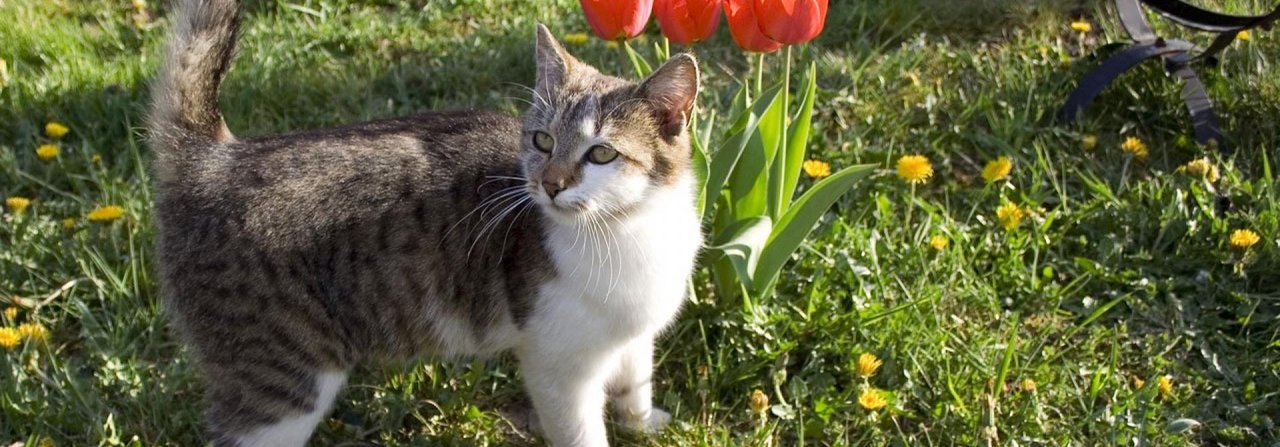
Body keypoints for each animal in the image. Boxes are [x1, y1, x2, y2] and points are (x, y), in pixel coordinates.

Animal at [149, 0, 706, 445]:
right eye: (542, 141)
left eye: (602, 153)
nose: (550, 184)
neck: (628, 229)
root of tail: (220, 160)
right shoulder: (558, 368)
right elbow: (580, 431)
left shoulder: (633, 336)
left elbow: (635, 382)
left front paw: (643, 423)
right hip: (279, 380)